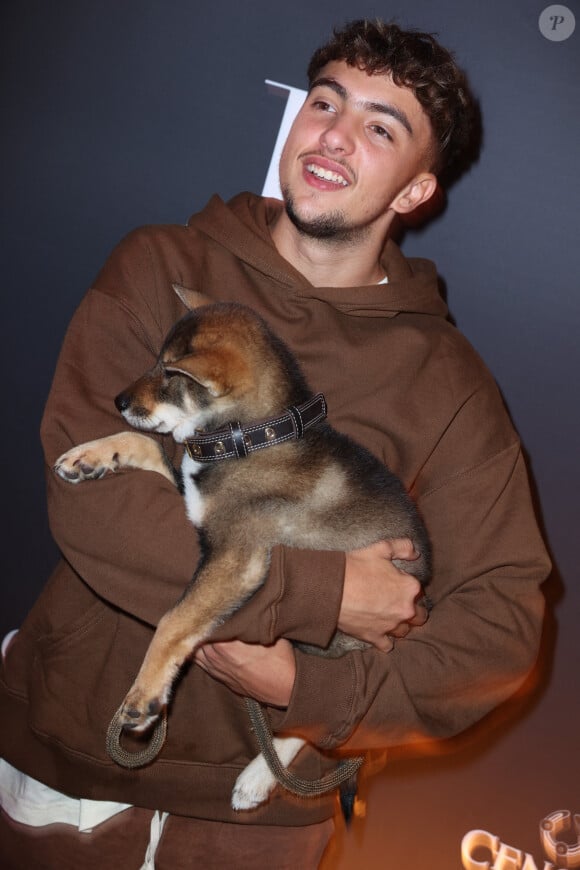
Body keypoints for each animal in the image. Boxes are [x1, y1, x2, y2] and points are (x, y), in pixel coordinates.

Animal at [55, 290, 430, 816]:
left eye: (170, 371)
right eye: (157, 361)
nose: (119, 401)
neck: (245, 437)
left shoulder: (235, 557)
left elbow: (173, 621)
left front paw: (144, 696)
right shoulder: (193, 505)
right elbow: (146, 444)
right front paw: (90, 456)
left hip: (333, 644)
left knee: (320, 714)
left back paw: (257, 777)